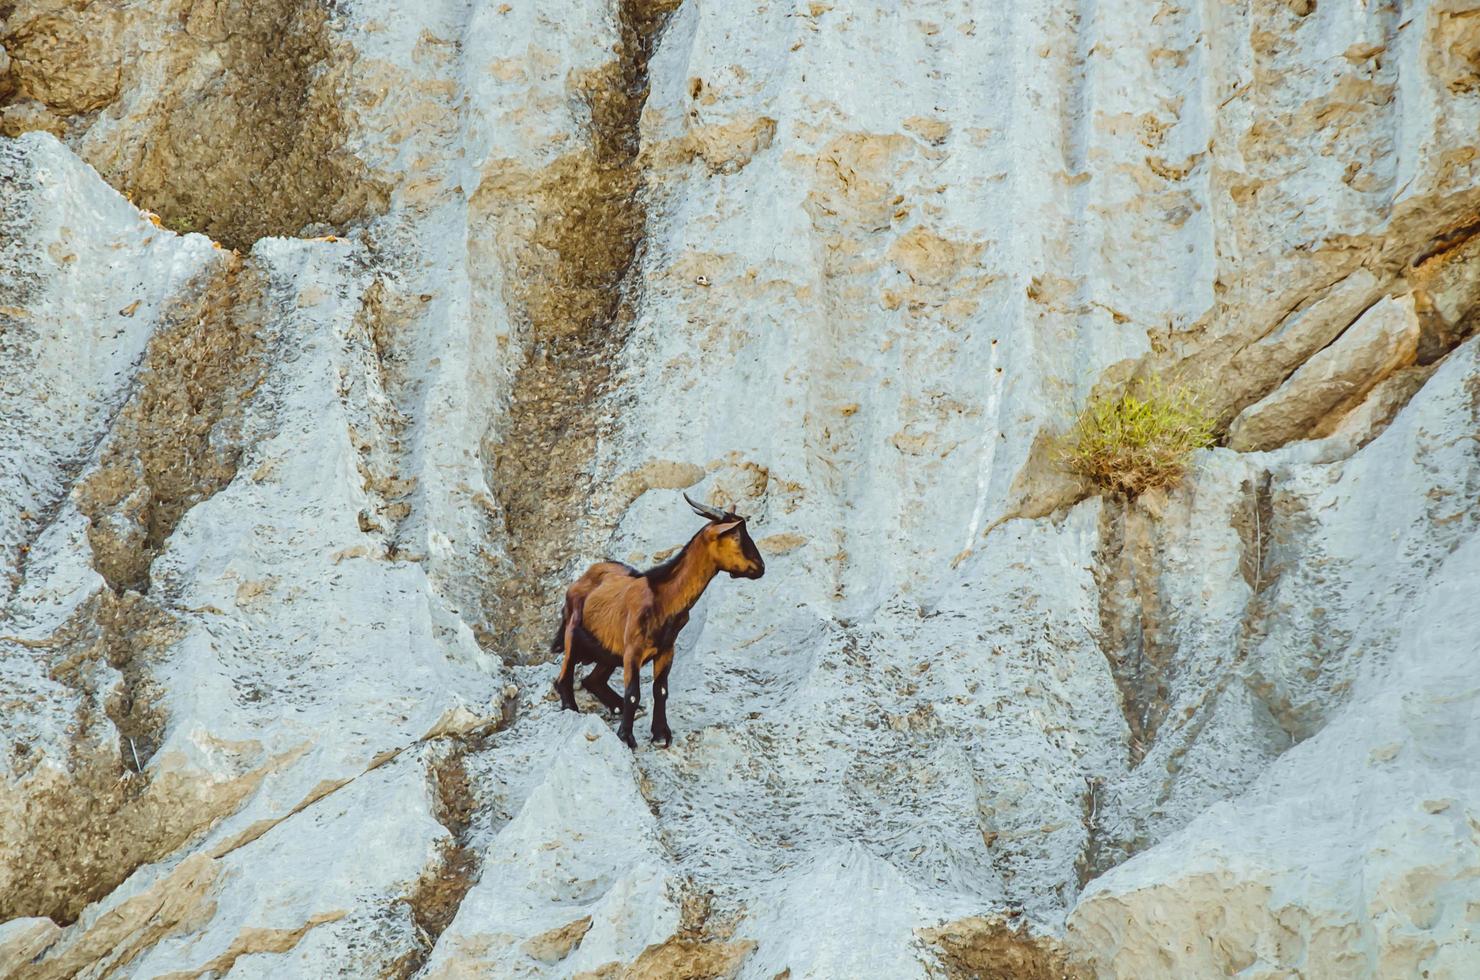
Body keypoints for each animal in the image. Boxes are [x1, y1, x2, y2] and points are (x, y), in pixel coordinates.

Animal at [553, 494, 769, 749]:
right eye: (735, 535)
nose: (760, 567)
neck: (664, 598)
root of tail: (580, 580)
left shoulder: (666, 649)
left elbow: (661, 690)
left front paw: (660, 734)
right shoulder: (633, 649)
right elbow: (633, 693)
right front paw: (626, 737)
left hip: (609, 649)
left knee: (592, 680)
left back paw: (616, 706)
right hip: (574, 629)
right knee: (564, 675)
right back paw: (571, 706)